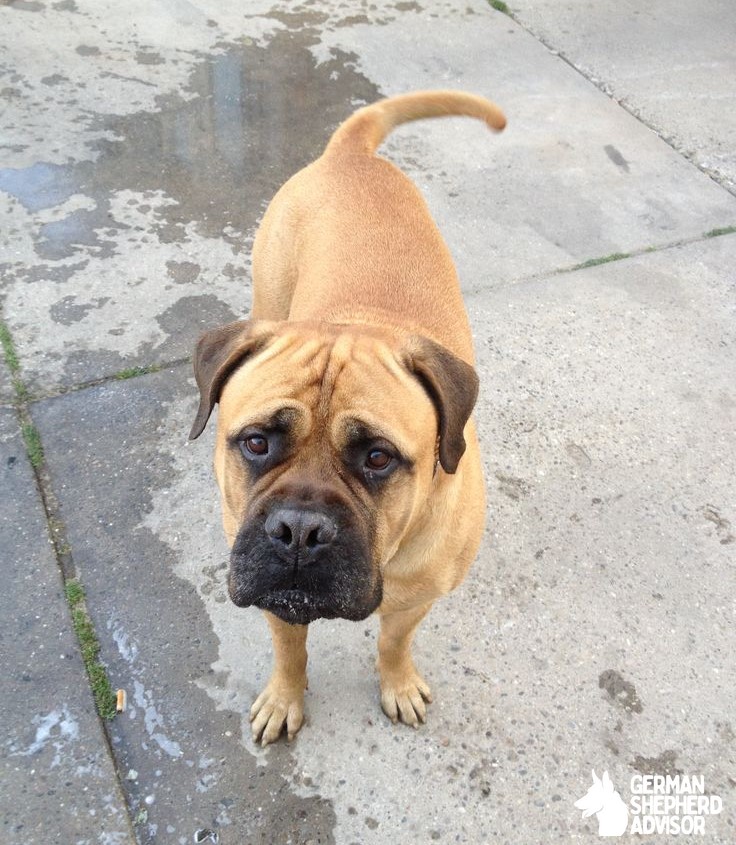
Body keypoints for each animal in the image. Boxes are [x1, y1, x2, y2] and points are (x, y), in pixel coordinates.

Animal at [190, 89, 506, 740]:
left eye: (378, 458)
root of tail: (350, 153)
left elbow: (393, 642)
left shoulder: (416, 600)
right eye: (256, 442)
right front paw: (285, 696)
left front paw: (397, 683)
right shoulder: (275, 595)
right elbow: (289, 647)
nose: (299, 531)